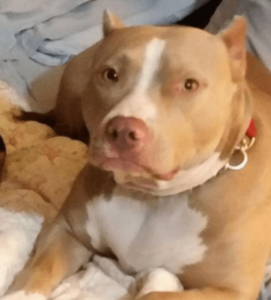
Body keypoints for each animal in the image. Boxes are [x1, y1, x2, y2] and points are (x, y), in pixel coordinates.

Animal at [3, 10, 271, 300]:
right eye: (110, 74)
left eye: (189, 84)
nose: (123, 129)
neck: (151, 198)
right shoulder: (68, 232)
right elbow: (38, 271)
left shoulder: (231, 290)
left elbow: (155, 291)